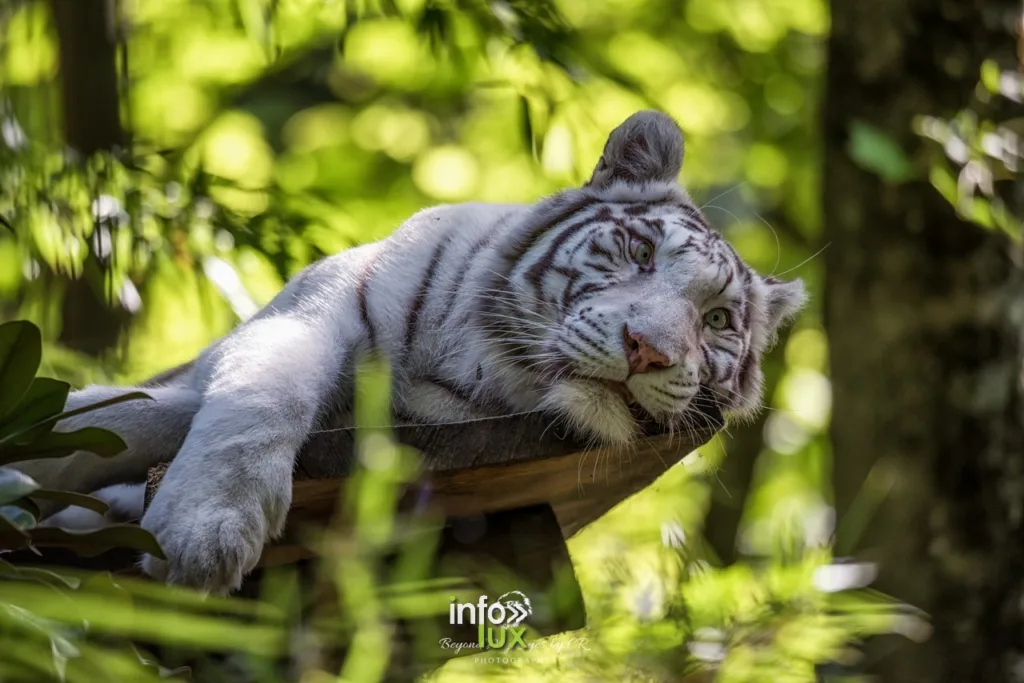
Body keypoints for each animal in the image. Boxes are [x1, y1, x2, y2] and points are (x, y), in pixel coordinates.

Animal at [14, 111, 806, 593]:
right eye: (640, 252)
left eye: (717, 319)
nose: (648, 351)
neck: (476, 368)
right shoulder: (311, 313)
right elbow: (231, 402)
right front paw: (205, 530)